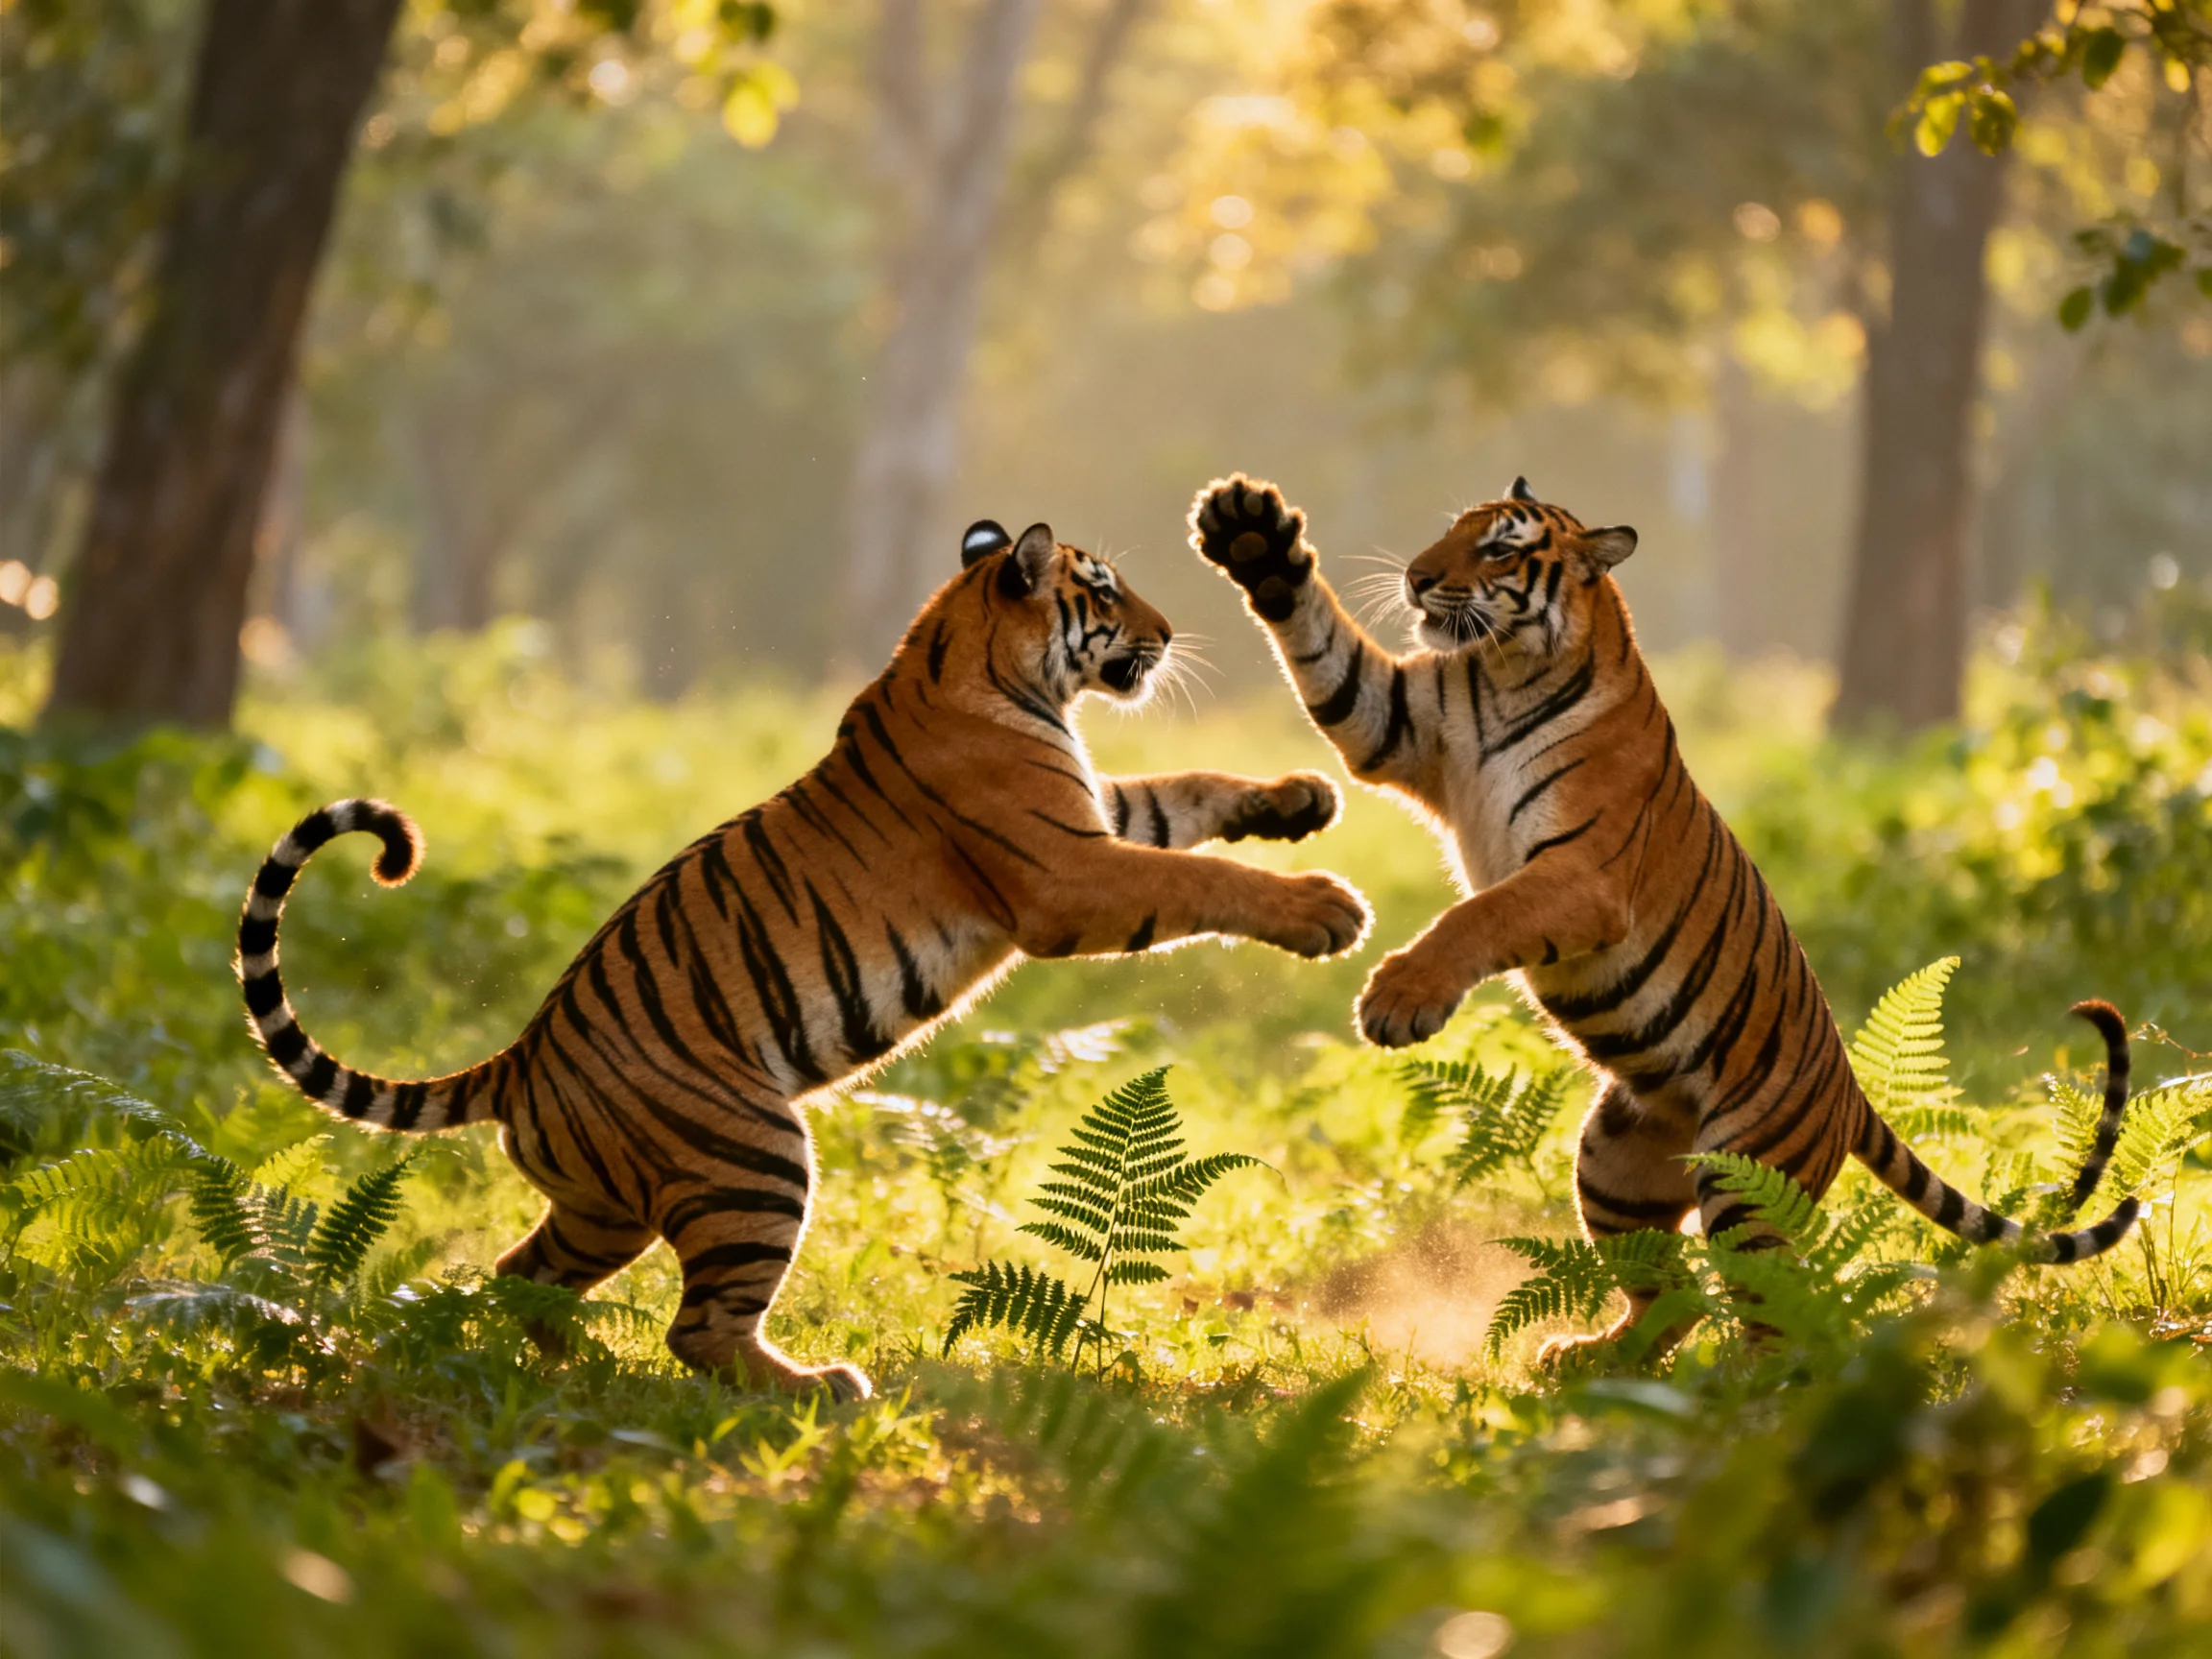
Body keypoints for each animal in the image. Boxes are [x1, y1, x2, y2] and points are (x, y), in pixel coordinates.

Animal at [237, 517, 1370, 1398]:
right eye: (1102, 590)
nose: (1167, 634)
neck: (983, 660)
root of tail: (517, 1062)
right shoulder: (1064, 873)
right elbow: (1198, 879)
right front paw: (1322, 908)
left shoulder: (1092, 822)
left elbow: (1187, 793)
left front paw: (1299, 799)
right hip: (755, 1157)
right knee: (697, 1330)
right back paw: (819, 1388)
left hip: (603, 1209)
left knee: (520, 1272)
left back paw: (572, 1363)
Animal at [1189, 472, 2139, 1360]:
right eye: (1454, 531)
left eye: (1497, 550)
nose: (1419, 577)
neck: (1501, 671)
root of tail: (1848, 1090)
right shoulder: (1396, 723)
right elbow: (1326, 649)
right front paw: (1251, 533)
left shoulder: (1581, 874)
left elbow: (1482, 916)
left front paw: (1399, 998)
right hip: (1615, 1164)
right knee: (1672, 1294)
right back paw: (1587, 1363)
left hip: (1746, 1182)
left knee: (1782, 1311)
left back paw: (1746, 1391)